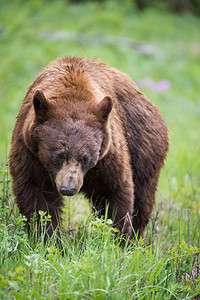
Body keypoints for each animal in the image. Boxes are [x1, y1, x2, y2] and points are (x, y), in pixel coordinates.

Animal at [9, 56, 169, 241]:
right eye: (59, 155)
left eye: (86, 157)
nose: (68, 188)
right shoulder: (30, 152)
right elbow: (36, 196)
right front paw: (47, 237)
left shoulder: (108, 156)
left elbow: (116, 191)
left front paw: (118, 238)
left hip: (144, 146)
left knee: (143, 196)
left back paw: (135, 237)